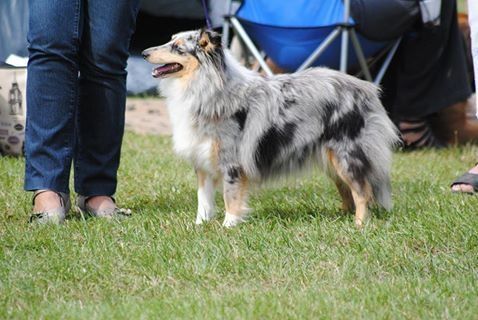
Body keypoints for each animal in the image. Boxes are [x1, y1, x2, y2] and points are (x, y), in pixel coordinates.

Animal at [143, 28, 400, 228]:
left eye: (178, 47)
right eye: (170, 41)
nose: (144, 52)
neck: (207, 87)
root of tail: (366, 88)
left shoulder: (231, 162)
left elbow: (230, 196)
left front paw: (228, 226)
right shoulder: (202, 160)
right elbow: (203, 200)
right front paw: (199, 226)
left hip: (346, 154)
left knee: (362, 190)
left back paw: (359, 225)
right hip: (330, 159)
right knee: (347, 190)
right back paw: (340, 217)